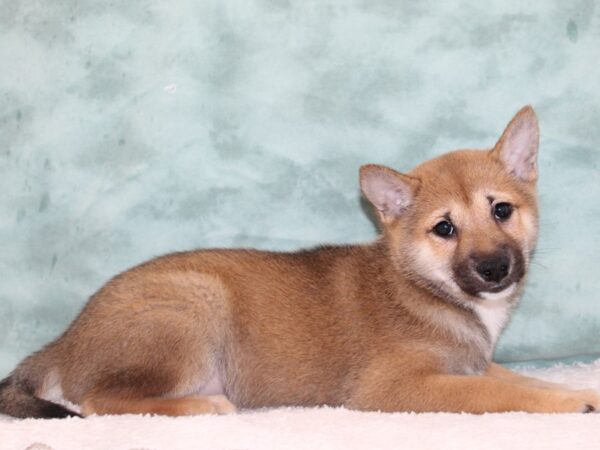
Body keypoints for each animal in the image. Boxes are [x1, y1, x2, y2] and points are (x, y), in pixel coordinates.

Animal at [2, 105, 596, 418]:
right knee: (100, 400)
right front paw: (569, 408)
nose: (495, 269)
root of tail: (64, 340)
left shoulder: (470, 363)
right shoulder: (395, 388)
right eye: (444, 228)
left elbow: (527, 382)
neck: (418, 285)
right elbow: (500, 393)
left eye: (502, 210)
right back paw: (201, 407)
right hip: (195, 302)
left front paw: (576, 393)